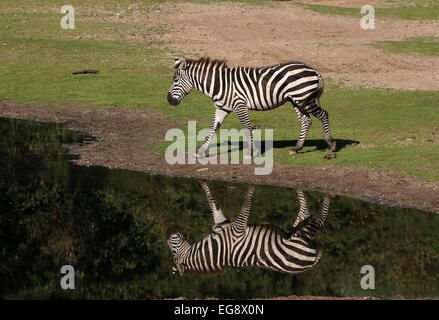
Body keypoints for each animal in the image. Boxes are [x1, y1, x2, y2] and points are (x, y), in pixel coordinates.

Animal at [167, 181, 332, 276]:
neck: (216, 248)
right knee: (319, 220)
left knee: (305, 212)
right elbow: (247, 203)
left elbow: (211, 201)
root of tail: (315, 259)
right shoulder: (238, 229)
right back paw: (328, 195)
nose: (168, 229)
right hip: (301, 235)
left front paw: (202, 179)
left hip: (297, 228)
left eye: (172, 250)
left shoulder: (222, 222)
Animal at [168, 57, 336, 159]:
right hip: (296, 100)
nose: (169, 100)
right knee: (306, 120)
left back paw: (331, 145)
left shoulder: (240, 105)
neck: (220, 84)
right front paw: (201, 151)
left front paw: (250, 152)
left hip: (304, 98)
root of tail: (313, 69)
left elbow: (247, 127)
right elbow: (213, 128)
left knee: (323, 114)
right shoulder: (222, 108)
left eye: (175, 80)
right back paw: (296, 148)